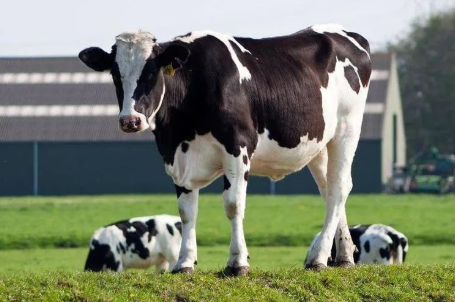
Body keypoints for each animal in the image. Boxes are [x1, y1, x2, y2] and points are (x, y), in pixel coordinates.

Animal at [79, 24, 370, 276]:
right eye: (115, 74)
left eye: (152, 73)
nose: (130, 120)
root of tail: (345, 33)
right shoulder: (177, 157)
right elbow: (186, 211)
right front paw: (185, 262)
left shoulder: (238, 146)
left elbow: (233, 204)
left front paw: (237, 263)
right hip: (319, 145)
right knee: (328, 190)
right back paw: (343, 257)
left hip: (347, 129)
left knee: (339, 187)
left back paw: (319, 258)